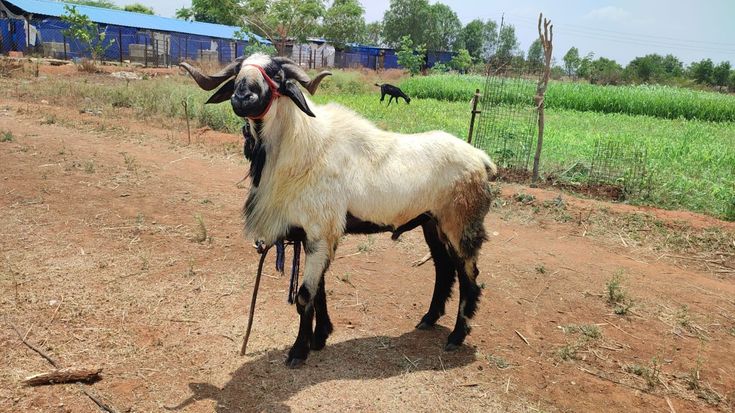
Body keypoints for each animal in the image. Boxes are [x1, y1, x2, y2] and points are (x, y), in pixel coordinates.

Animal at [181, 54, 497, 368]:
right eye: (238, 72)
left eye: (277, 74)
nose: (243, 96)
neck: (299, 146)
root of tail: (482, 160)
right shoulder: (313, 233)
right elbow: (318, 291)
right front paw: (320, 337)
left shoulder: (320, 231)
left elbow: (305, 296)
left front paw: (298, 352)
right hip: (432, 223)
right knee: (444, 269)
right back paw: (429, 319)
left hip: (460, 224)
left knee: (470, 278)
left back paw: (456, 337)